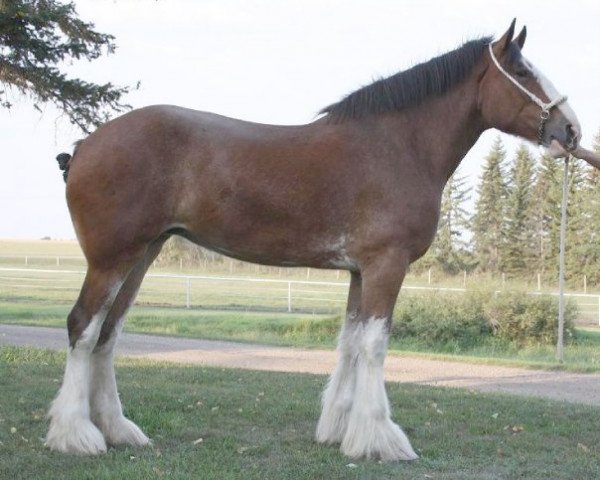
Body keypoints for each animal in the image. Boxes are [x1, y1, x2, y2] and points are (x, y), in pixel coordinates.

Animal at [45, 21, 584, 462]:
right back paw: (76, 436)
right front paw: (380, 439)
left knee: (109, 334)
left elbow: (350, 343)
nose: (571, 130)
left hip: (143, 254)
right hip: (112, 259)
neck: (397, 147)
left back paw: (118, 430)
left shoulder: (359, 270)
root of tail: (84, 146)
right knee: (83, 328)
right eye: (522, 70)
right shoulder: (387, 265)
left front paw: (340, 430)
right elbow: (375, 347)